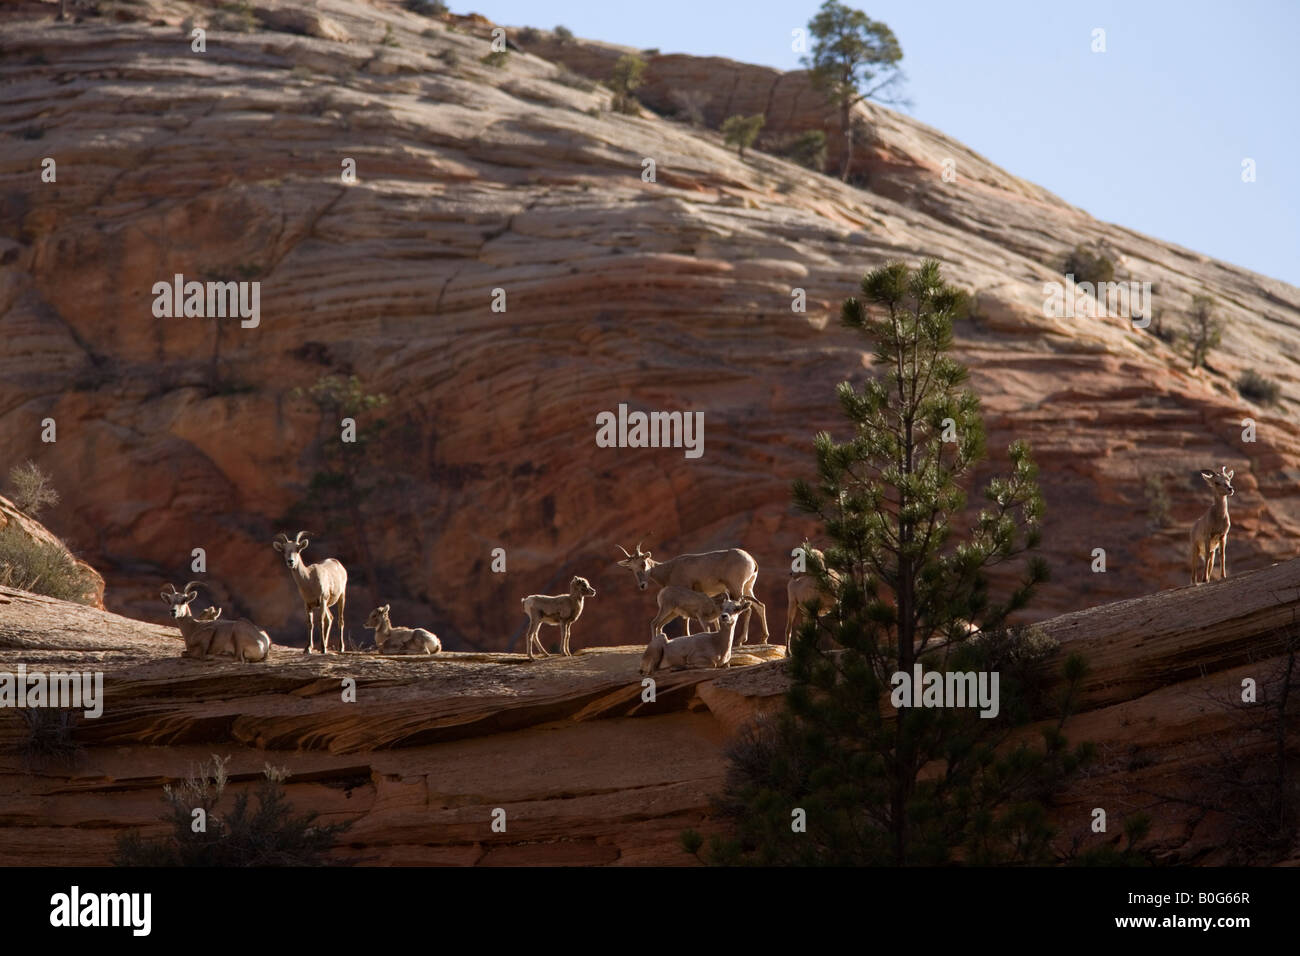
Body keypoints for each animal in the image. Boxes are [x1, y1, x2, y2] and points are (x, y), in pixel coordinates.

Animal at [273, 530, 348, 658]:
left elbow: (320, 622)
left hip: (341, 597)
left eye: (298, 549)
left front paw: (322, 649)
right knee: (330, 618)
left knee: (340, 620)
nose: (290, 561)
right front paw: (308, 648)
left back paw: (340, 647)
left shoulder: (322, 600)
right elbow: (310, 623)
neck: (309, 580)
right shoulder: (307, 604)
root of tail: (339, 565)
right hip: (327, 604)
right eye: (284, 550)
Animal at [616, 541, 764, 647]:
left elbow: (686, 617)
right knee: (760, 606)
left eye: (643, 563)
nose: (642, 585)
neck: (670, 569)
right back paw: (764, 639)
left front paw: (687, 635)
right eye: (631, 569)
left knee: (748, 609)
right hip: (748, 588)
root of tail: (752, 560)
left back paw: (740, 641)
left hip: (737, 588)